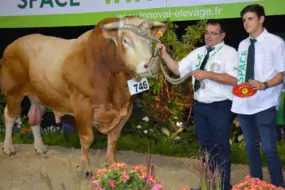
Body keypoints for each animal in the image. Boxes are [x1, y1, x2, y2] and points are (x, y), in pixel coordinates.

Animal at [0, 16, 164, 173]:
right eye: (125, 40)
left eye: (150, 40)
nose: (149, 64)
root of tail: (15, 44)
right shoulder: (82, 105)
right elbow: (87, 138)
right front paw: (84, 166)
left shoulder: (126, 109)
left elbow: (113, 137)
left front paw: (112, 163)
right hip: (13, 91)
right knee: (10, 116)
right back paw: (8, 148)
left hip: (38, 94)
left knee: (34, 117)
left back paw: (40, 147)